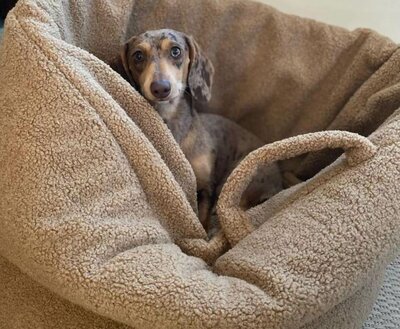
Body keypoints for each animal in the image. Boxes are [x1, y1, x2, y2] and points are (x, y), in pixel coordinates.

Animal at [117, 28, 282, 231]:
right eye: (138, 56)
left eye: (176, 51)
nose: (161, 88)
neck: (175, 126)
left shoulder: (206, 187)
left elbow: (203, 219)